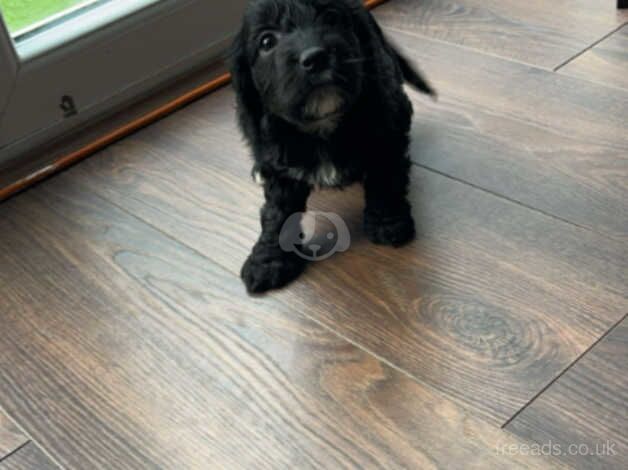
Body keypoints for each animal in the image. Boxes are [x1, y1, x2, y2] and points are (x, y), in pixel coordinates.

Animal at [232, 0, 436, 294]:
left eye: (332, 17)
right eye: (267, 41)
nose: (314, 57)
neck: (323, 125)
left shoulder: (386, 132)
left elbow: (385, 179)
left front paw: (388, 222)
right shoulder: (280, 163)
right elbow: (277, 211)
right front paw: (268, 260)